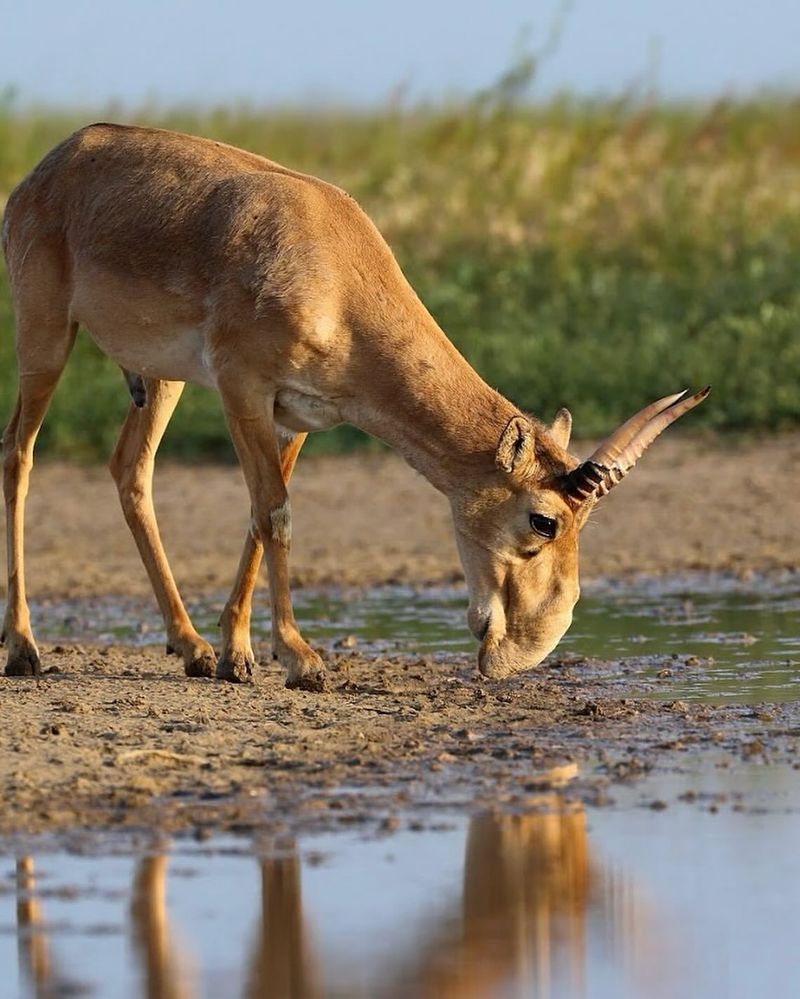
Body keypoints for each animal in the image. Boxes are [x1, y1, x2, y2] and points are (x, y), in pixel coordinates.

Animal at [1, 123, 708, 688]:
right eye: (544, 521)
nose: (523, 653)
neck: (337, 269)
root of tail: (49, 167)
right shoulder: (243, 389)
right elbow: (276, 515)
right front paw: (302, 660)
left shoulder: (298, 417)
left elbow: (258, 518)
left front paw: (236, 654)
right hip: (46, 337)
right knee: (18, 454)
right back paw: (24, 649)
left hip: (159, 378)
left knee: (130, 471)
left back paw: (191, 646)